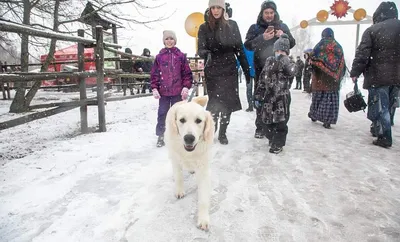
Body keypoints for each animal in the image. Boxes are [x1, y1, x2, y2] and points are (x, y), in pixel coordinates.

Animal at [163, 96, 214, 231]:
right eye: (182, 120)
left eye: (198, 121)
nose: (189, 138)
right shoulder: (176, 159)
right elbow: (179, 177)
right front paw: (179, 191)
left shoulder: (203, 168)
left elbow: (203, 198)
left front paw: (203, 219)